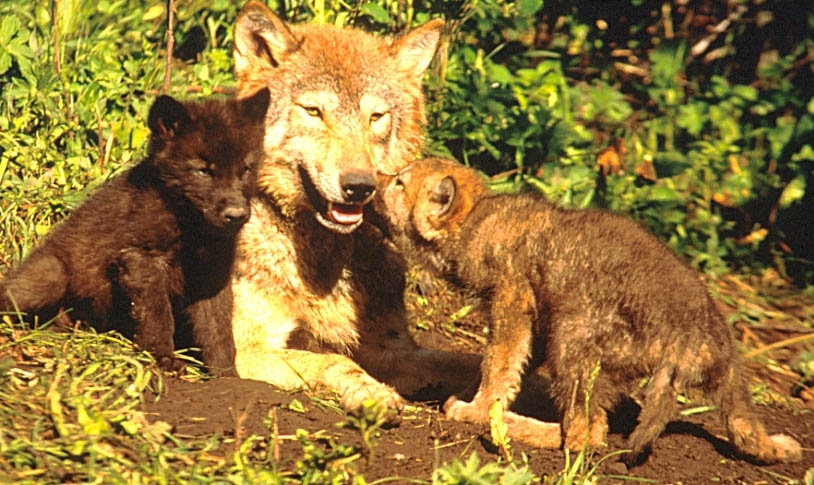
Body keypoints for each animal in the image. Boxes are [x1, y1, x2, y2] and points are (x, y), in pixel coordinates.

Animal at [226, 1, 482, 414]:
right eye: (314, 111)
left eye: (375, 117)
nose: (359, 186)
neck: (323, 254)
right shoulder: (246, 350)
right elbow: (334, 359)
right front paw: (372, 393)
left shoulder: (393, 349)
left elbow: (466, 361)